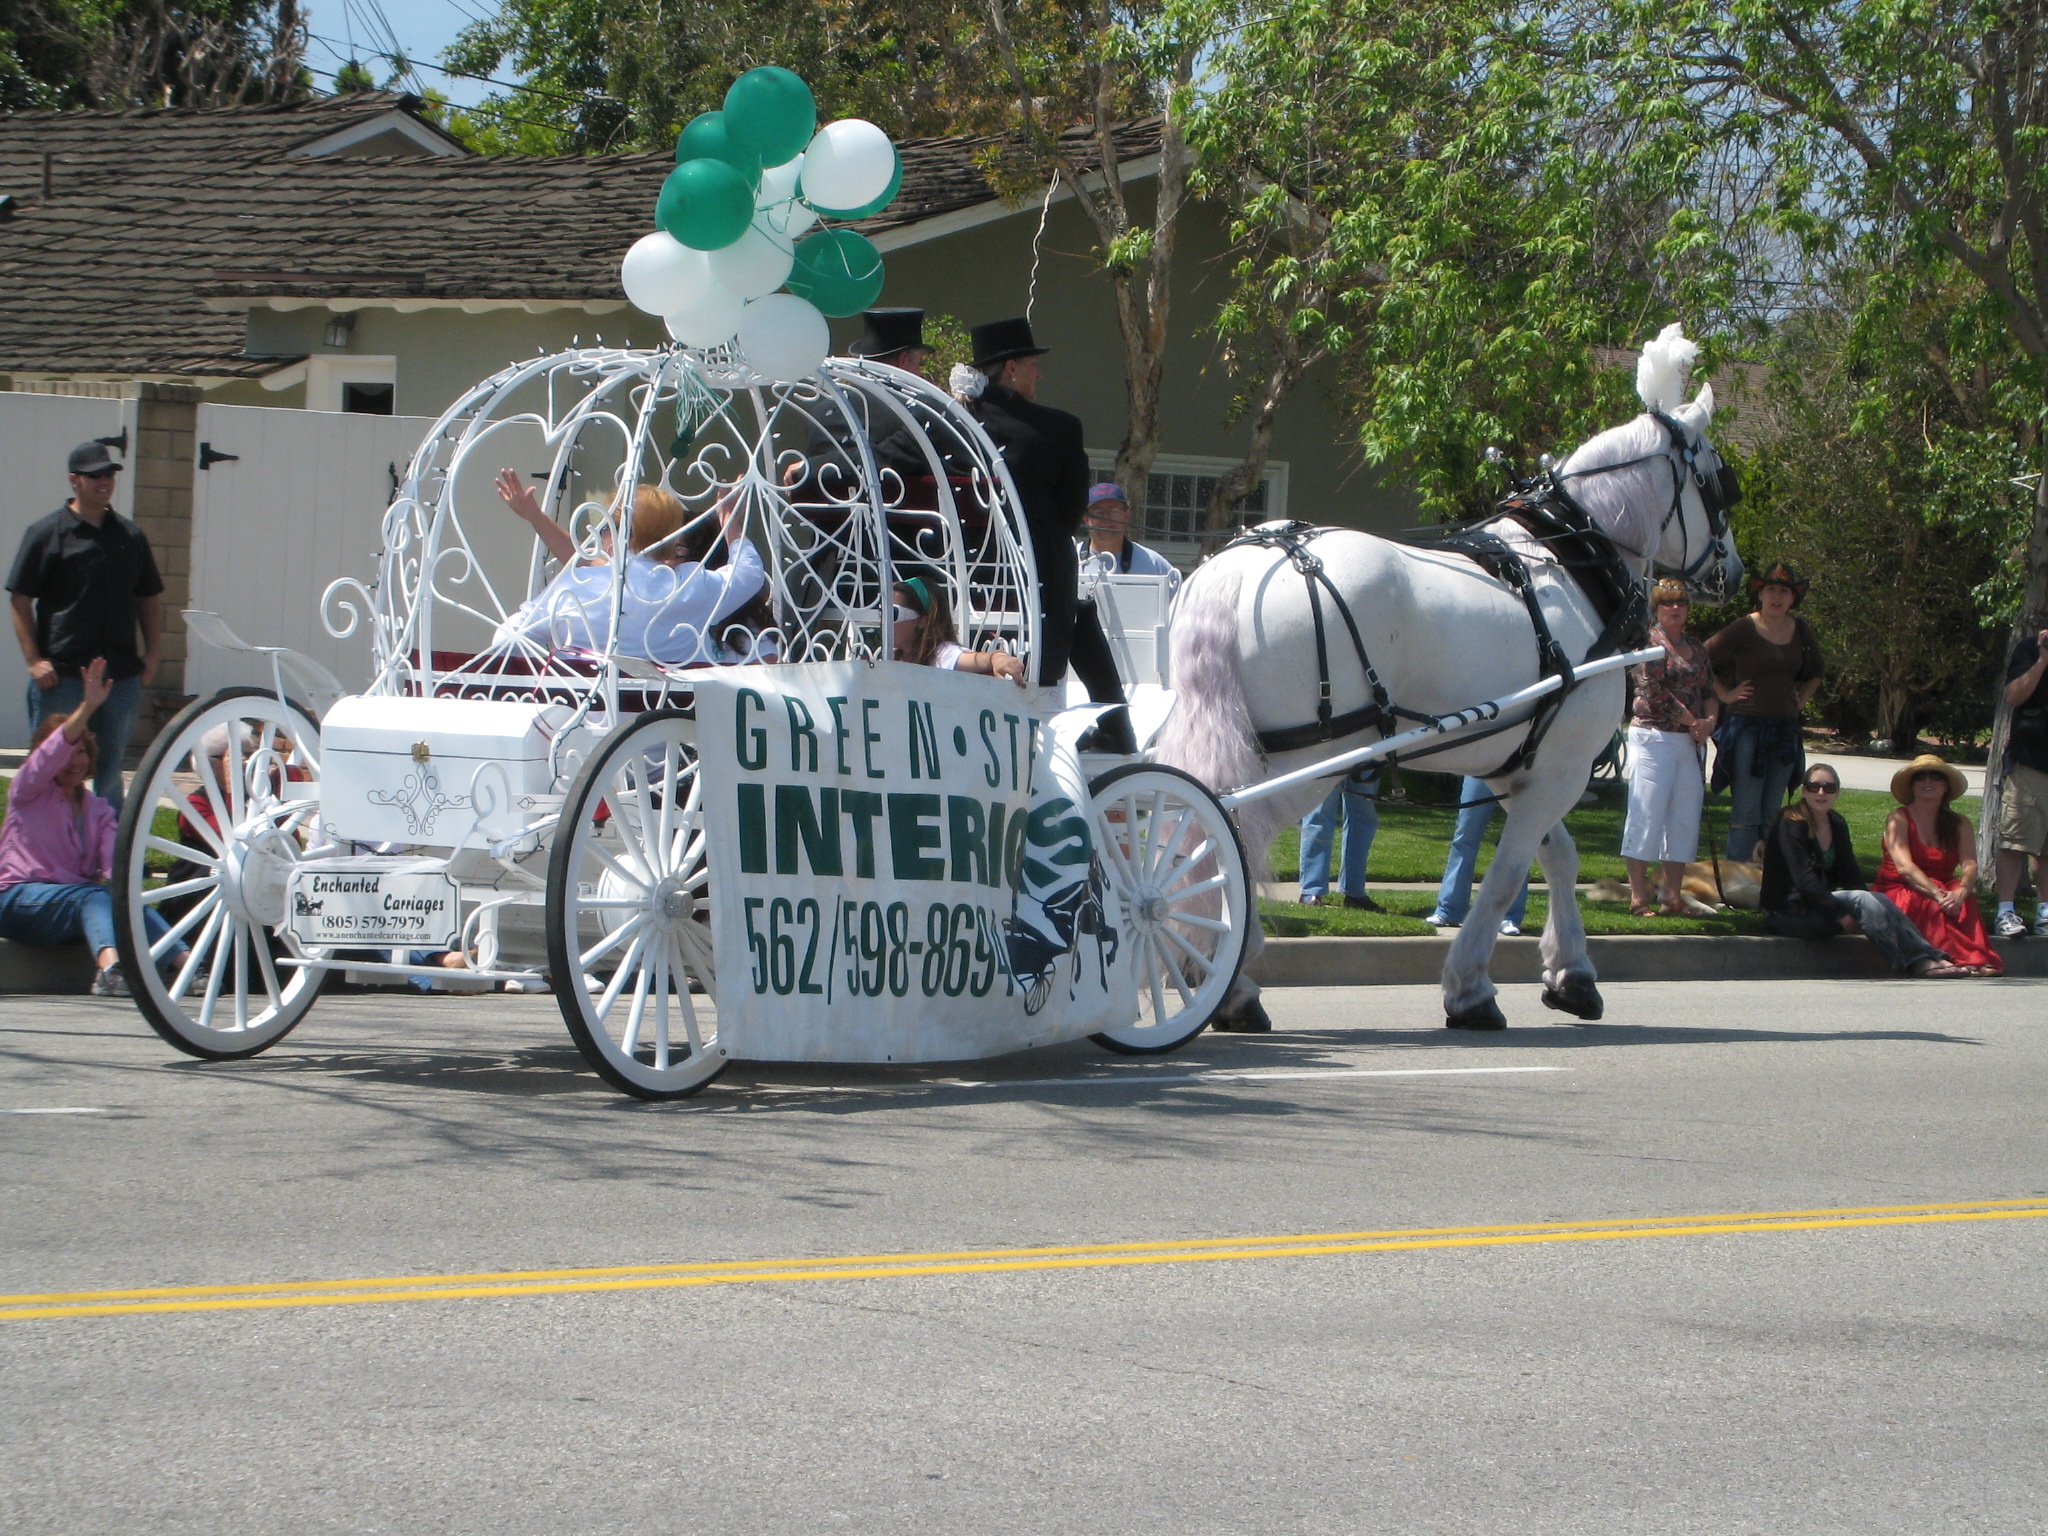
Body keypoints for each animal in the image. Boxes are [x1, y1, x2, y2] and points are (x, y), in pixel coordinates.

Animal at [1155, 325, 1744, 1036]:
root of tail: (1239, 566)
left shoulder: (1523, 765)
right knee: (1228, 838)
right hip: (1308, 760)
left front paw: (1571, 975)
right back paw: (1231, 981)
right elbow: (1509, 873)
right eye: (1720, 483)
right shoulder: (1564, 766)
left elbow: (1561, 855)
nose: (1734, 572)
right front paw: (1470, 990)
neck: (1569, 559)